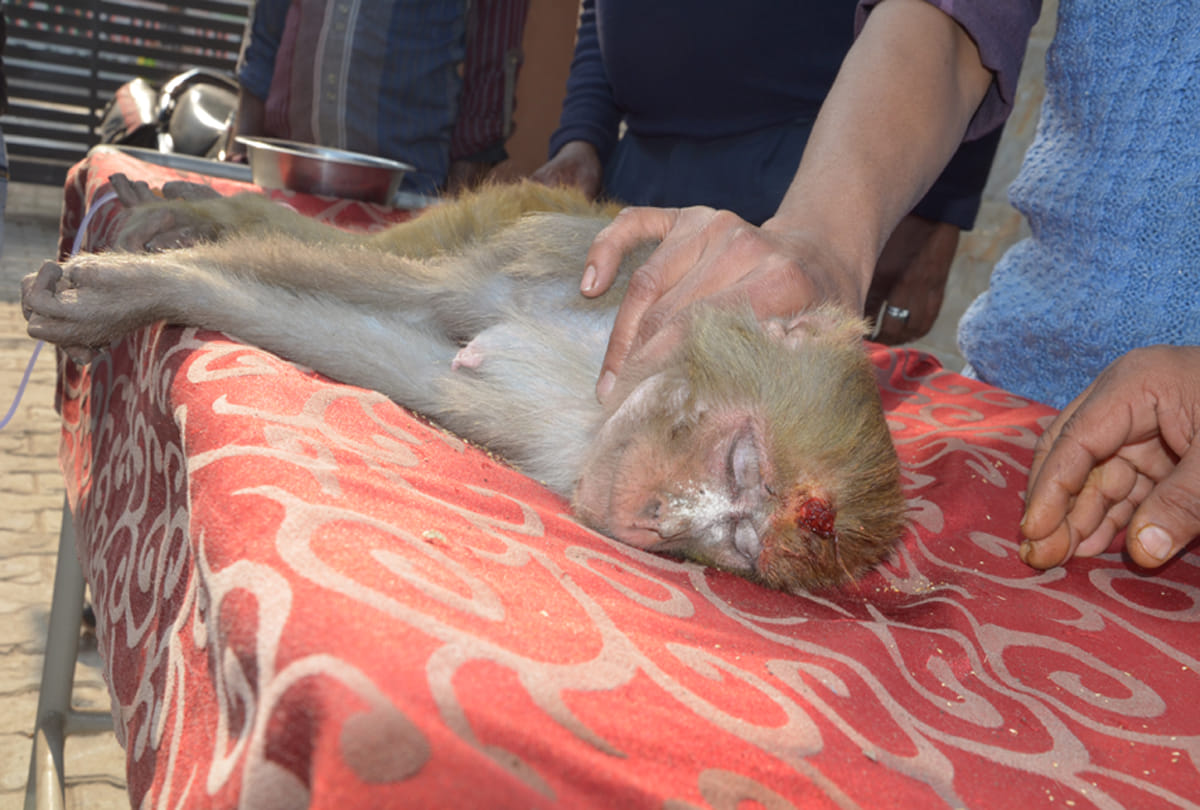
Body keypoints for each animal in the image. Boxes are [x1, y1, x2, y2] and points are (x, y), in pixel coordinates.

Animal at [22, 175, 905, 592]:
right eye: (742, 465)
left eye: (740, 545)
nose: (659, 519)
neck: (607, 388)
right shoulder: (587, 287)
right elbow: (429, 300)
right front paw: (133, 290)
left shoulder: (563, 442)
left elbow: (400, 356)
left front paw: (158, 293)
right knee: (394, 253)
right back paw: (216, 211)